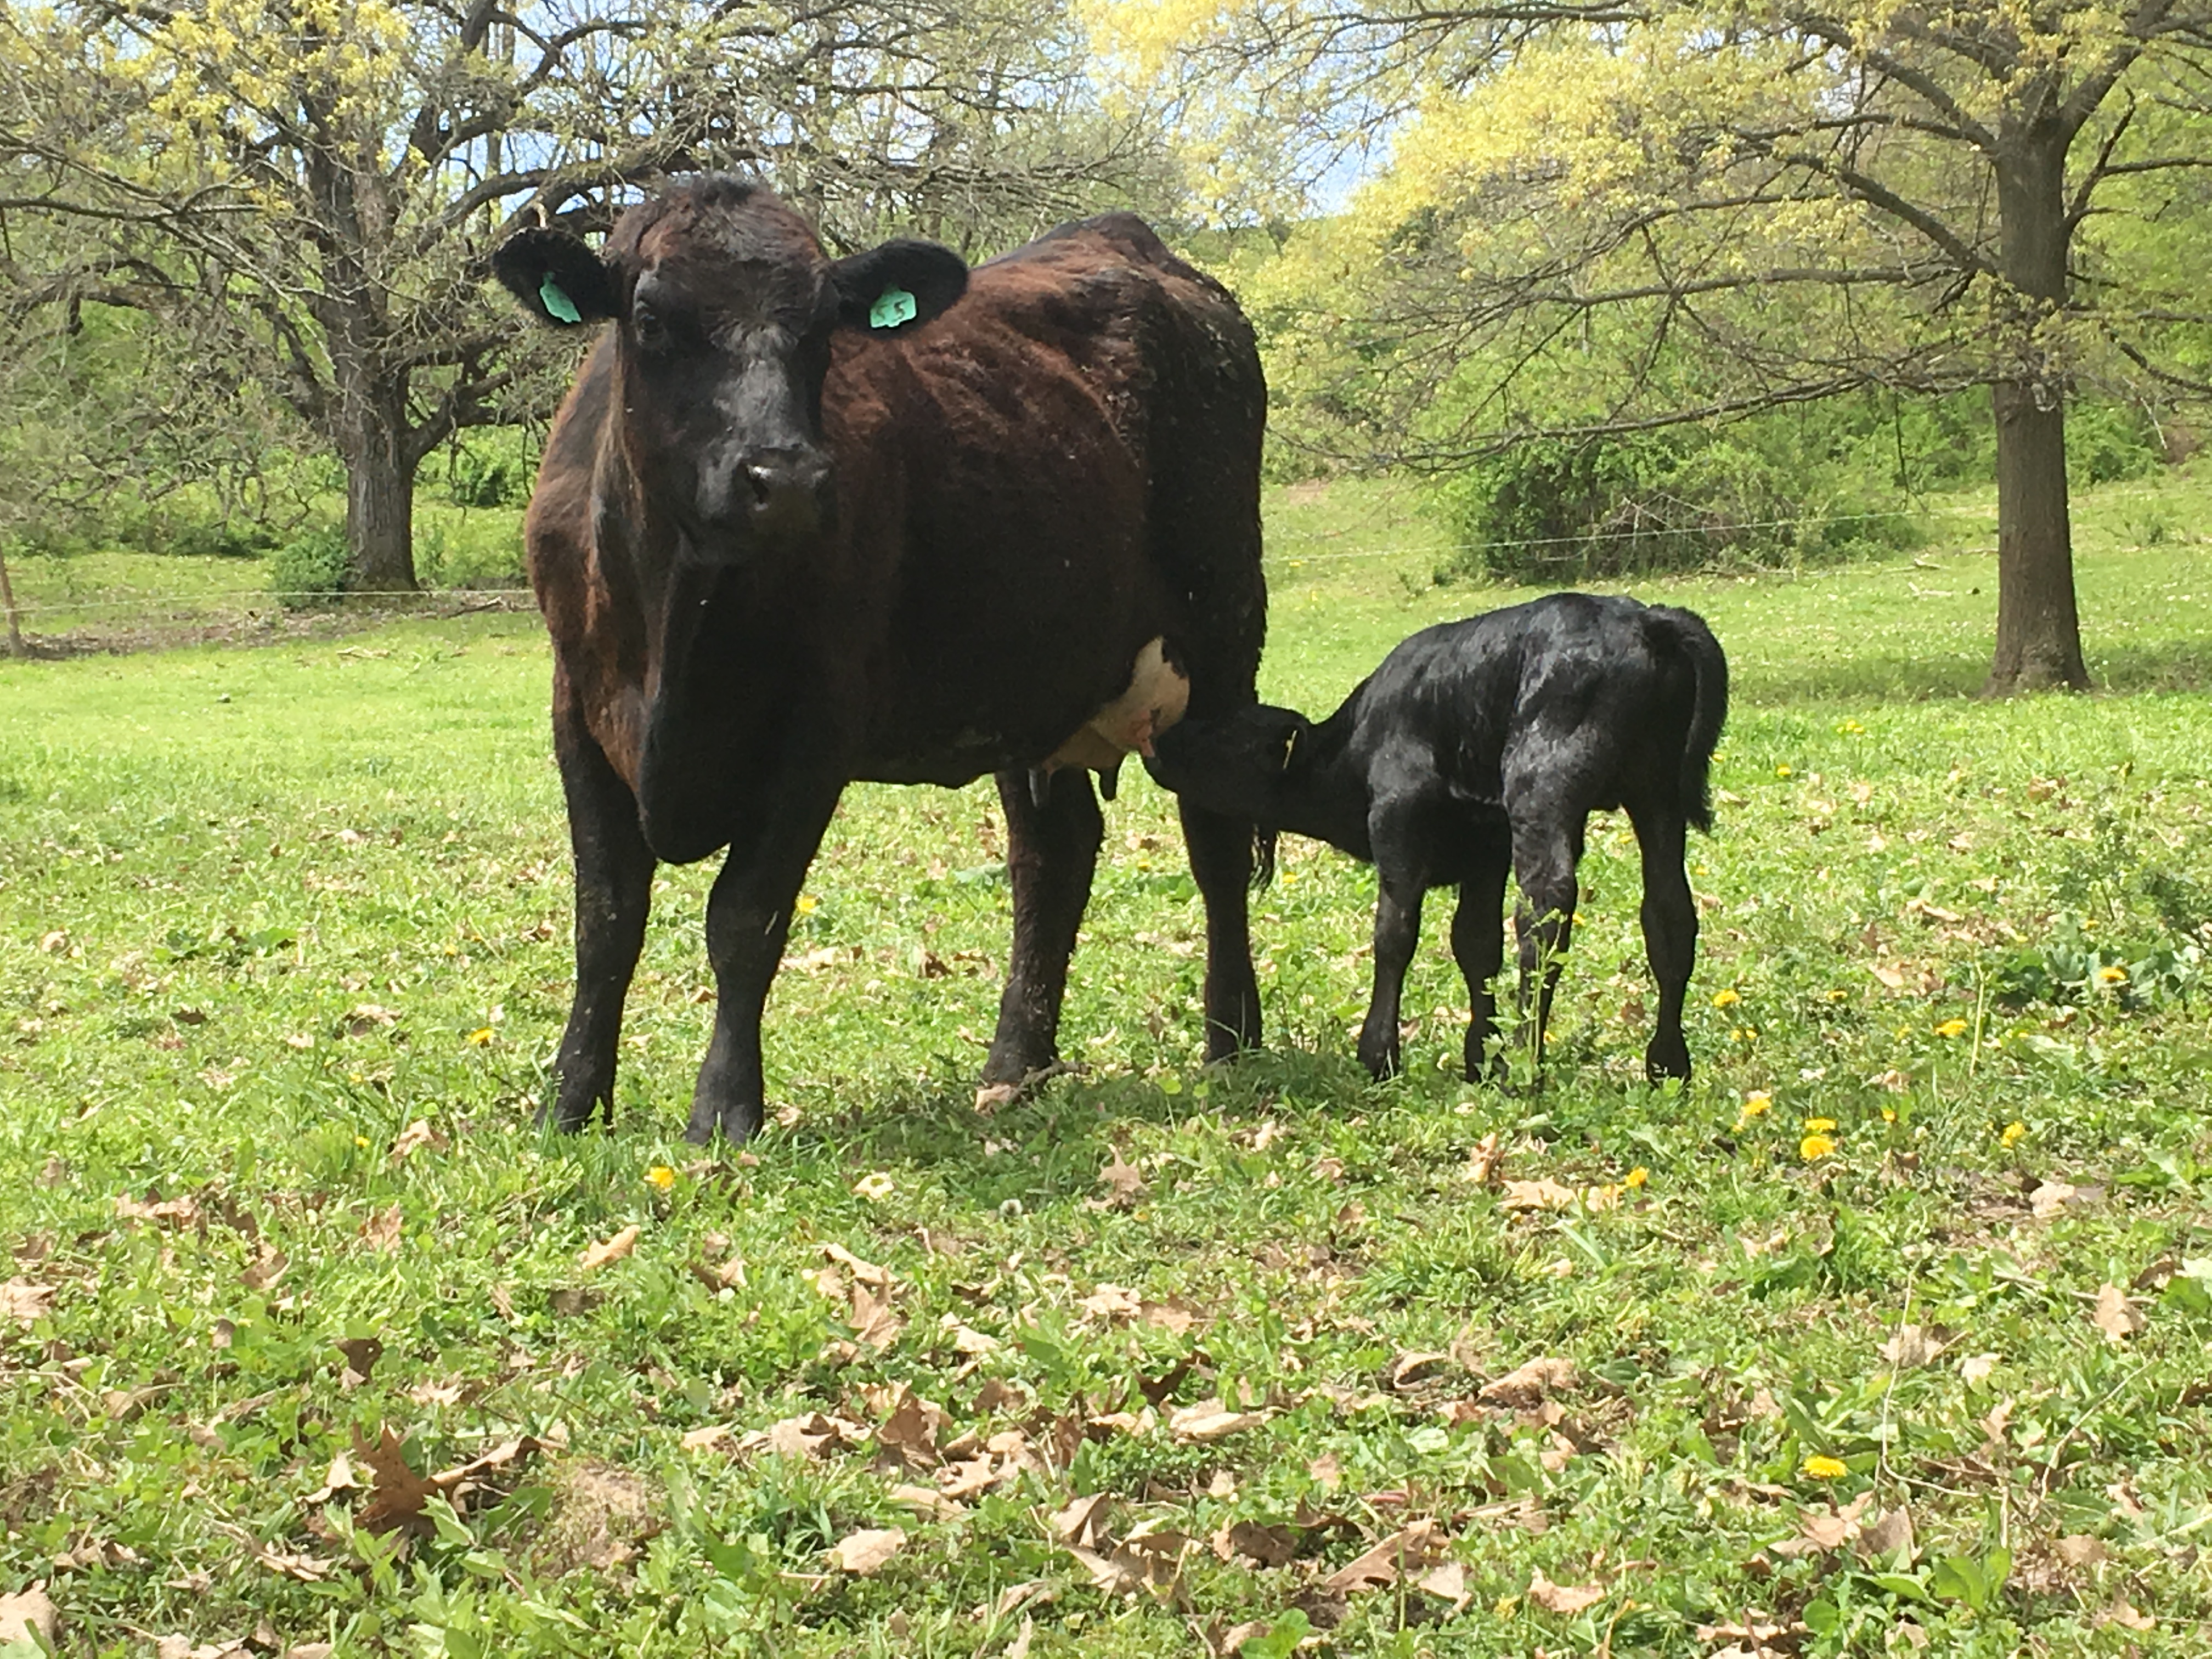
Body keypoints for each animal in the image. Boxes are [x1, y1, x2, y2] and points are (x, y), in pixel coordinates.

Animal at [489, 176, 1267, 1143]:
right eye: (651, 317)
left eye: (826, 325)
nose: (786, 479)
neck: (678, 621)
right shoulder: (579, 710)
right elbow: (606, 919)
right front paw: (569, 1102)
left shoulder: (816, 728)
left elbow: (744, 917)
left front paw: (724, 1111)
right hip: (1030, 682)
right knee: (1052, 858)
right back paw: (1017, 1065)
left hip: (1223, 641)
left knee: (1216, 839)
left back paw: (1231, 1043)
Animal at [1142, 594, 1727, 1084]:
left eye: (1225, 734)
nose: (1160, 738)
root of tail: (1648, 619)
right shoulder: (1486, 845)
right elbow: (1476, 943)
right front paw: (1480, 1057)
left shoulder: (1399, 816)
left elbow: (1394, 933)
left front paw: (1379, 1054)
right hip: (1656, 794)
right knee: (1668, 913)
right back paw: (1667, 1063)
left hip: (1544, 783)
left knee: (1545, 908)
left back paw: (1526, 1059)